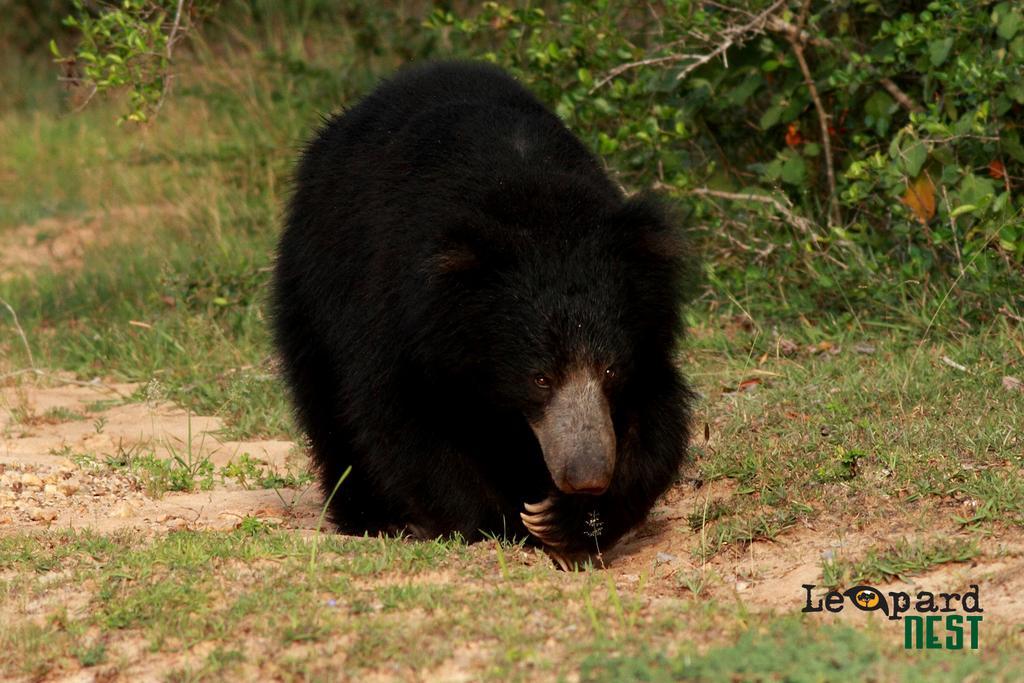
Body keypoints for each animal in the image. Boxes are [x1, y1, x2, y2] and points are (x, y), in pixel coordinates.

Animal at [270, 61, 696, 569]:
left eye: (610, 369)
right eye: (540, 378)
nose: (586, 475)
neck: (532, 203)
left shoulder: (645, 333)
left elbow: (656, 419)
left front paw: (566, 520)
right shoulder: (398, 310)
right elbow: (400, 415)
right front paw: (503, 525)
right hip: (313, 277)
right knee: (323, 395)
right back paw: (372, 517)